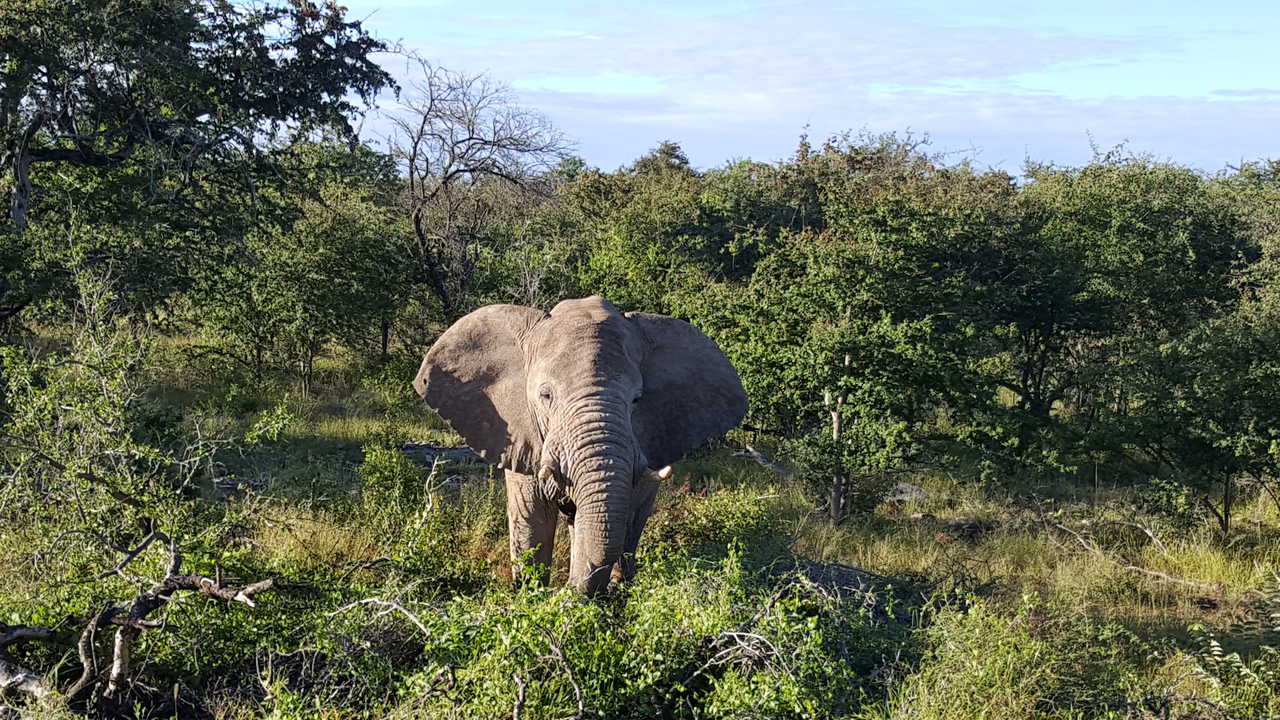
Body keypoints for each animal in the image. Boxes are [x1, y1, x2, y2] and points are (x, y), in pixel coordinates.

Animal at [412, 296, 747, 594]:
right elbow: (532, 515)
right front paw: (530, 595)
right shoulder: (521, 431)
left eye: (636, 400)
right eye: (545, 395)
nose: (569, 591)